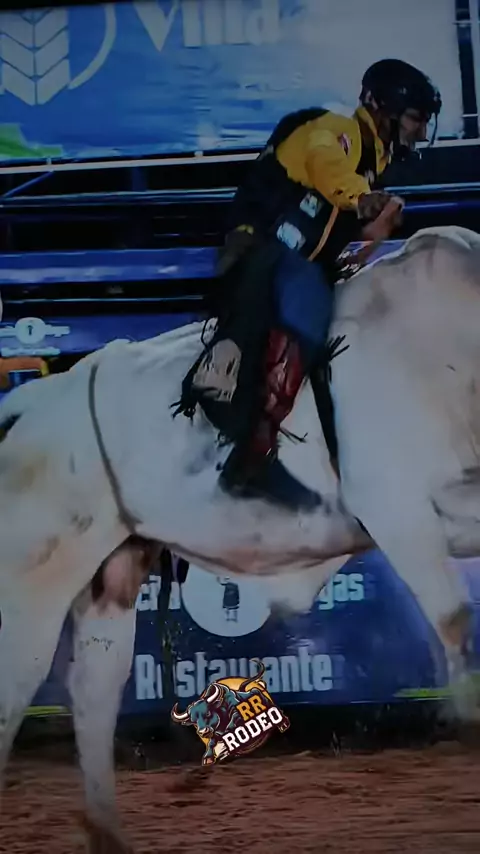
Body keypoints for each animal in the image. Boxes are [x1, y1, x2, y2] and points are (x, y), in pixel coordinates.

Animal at [1, 226, 480, 854]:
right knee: (19, 683)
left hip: (113, 571)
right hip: (36, 578)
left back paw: (107, 829)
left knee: (95, 687)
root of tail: (31, 407)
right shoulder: (396, 510)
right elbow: (454, 619)